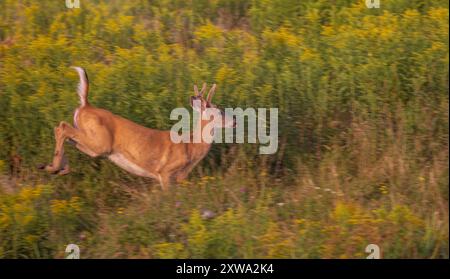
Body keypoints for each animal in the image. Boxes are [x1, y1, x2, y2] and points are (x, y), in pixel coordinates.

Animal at [40, 66, 236, 191]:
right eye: (219, 111)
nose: (234, 120)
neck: (190, 146)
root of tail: (85, 105)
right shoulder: (165, 173)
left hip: (94, 145)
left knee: (66, 133)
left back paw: (58, 168)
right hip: (100, 143)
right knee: (62, 127)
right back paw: (53, 167)